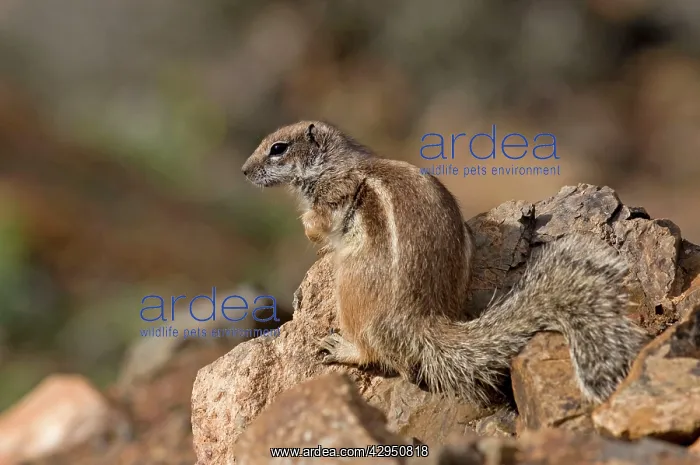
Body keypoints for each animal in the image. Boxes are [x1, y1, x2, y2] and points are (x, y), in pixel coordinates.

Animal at [241, 120, 651, 407]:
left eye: (278, 148)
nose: (244, 171)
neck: (336, 162)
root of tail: (422, 319)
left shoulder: (331, 198)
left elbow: (317, 227)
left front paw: (315, 240)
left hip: (351, 290)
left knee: (374, 352)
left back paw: (341, 347)